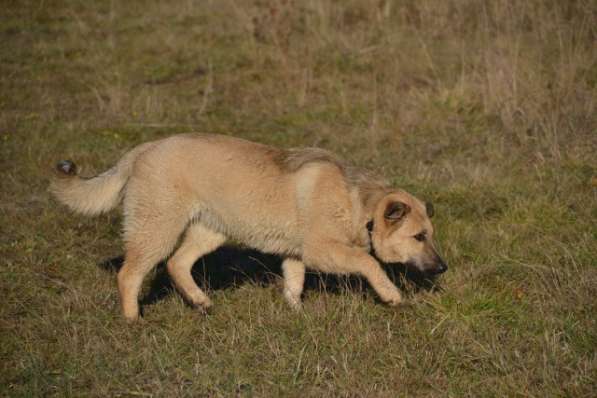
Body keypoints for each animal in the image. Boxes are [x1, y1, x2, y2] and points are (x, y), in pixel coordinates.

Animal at [49, 134, 444, 320]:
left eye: (429, 235)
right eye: (419, 236)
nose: (443, 268)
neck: (358, 202)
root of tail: (142, 149)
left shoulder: (295, 255)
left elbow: (294, 285)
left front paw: (297, 314)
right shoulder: (321, 251)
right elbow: (369, 262)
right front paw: (391, 294)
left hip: (210, 230)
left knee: (177, 264)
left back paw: (201, 302)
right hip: (158, 227)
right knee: (130, 274)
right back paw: (134, 320)